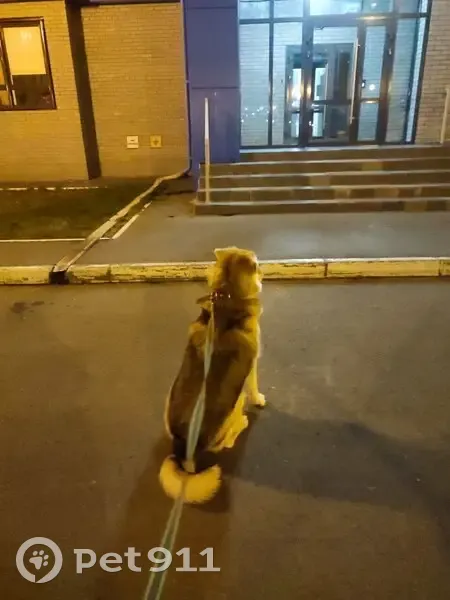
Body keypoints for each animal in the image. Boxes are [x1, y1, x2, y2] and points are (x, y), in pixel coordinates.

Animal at [159, 247, 265, 504]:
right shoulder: (252, 365)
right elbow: (254, 387)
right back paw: (243, 422)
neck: (228, 295)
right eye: (257, 265)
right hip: (236, 402)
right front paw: (259, 400)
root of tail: (182, 448)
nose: (265, 270)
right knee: (227, 443)